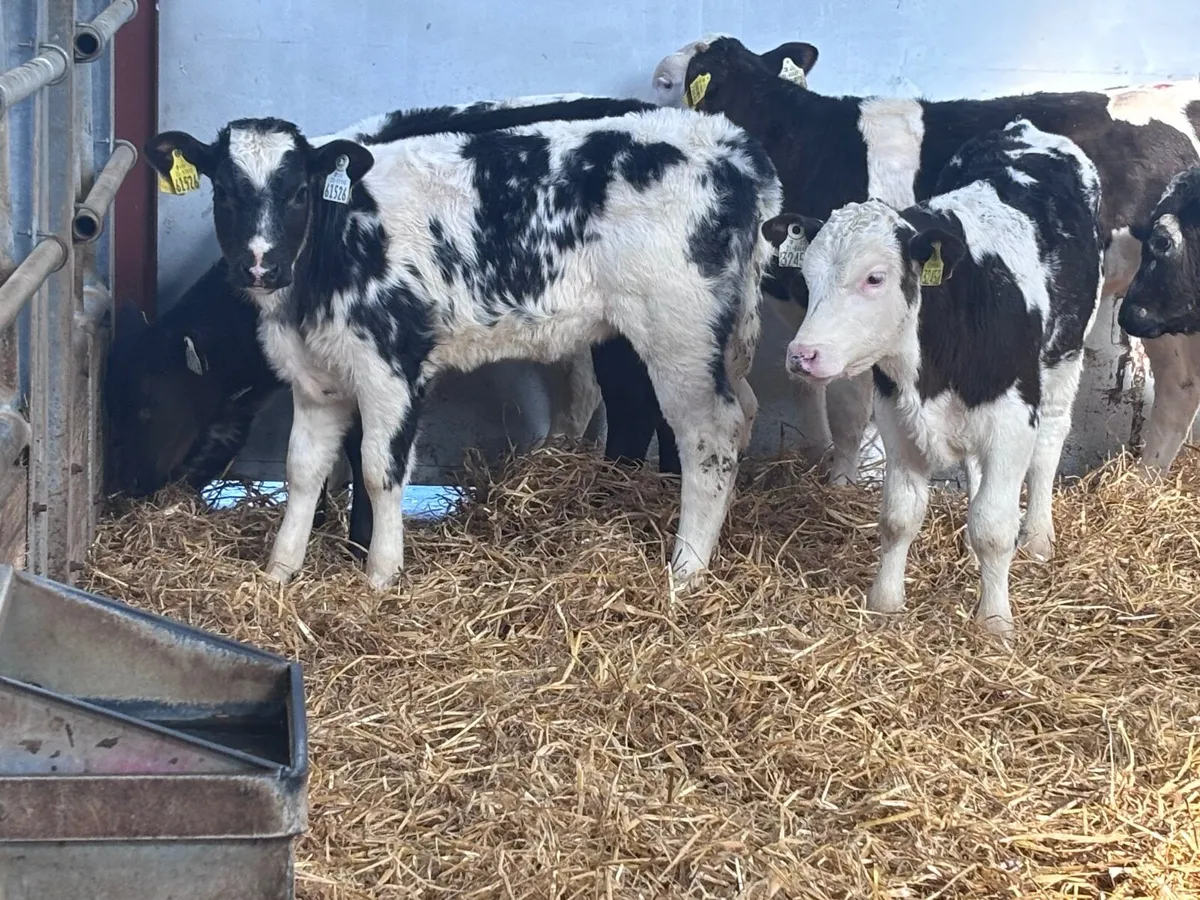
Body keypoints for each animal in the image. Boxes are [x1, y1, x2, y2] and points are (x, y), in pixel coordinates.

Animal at [143, 106, 782, 590]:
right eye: (224, 193)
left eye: (299, 191)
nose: (260, 264)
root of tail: (731, 146)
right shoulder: (316, 376)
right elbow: (302, 470)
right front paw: (280, 573)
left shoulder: (392, 367)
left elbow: (378, 470)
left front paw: (381, 575)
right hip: (723, 339)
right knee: (744, 413)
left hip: (678, 331)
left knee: (709, 434)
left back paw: (687, 568)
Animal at [762, 118, 1104, 639]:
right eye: (806, 275)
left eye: (875, 278)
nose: (803, 355)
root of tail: (1025, 129)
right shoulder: (896, 418)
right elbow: (899, 517)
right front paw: (885, 602)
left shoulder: (1011, 421)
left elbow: (994, 527)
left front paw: (995, 620)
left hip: (1065, 355)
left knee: (1049, 444)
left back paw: (1038, 536)